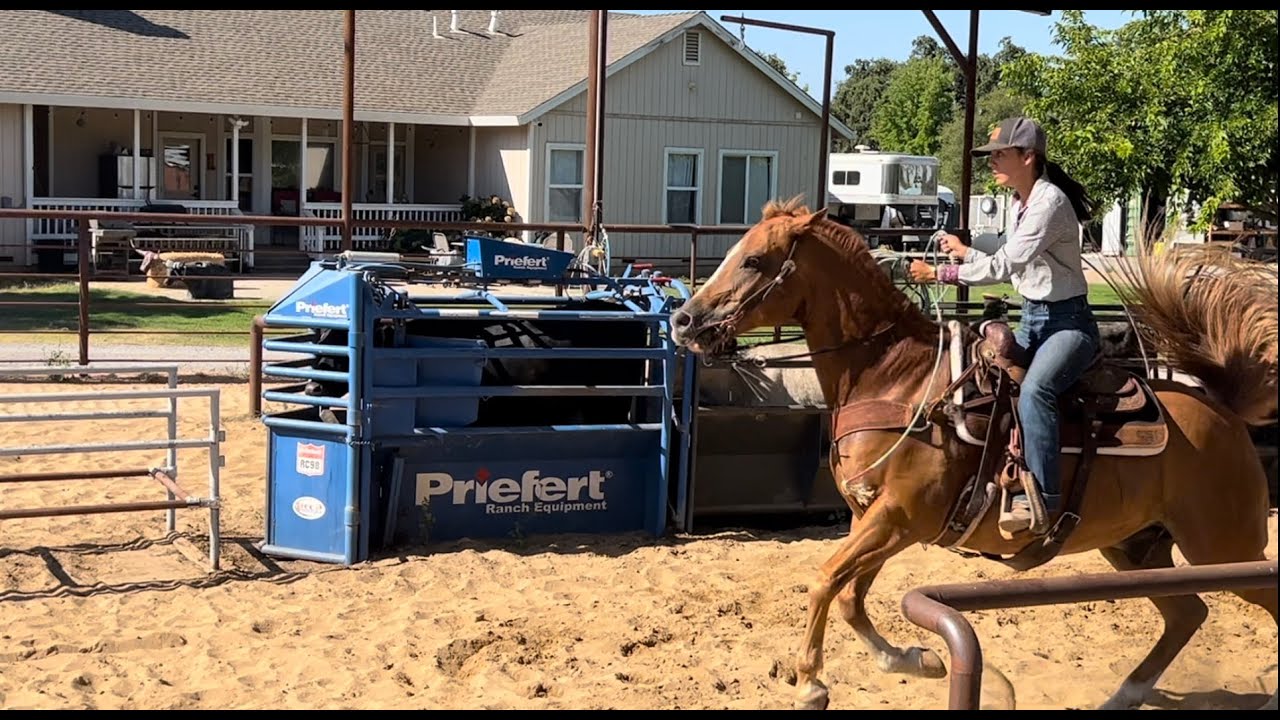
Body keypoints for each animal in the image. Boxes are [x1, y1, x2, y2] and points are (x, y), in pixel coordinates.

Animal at [668, 196, 1278, 711]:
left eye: (754, 260)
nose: (684, 320)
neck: (896, 379)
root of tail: (1223, 409)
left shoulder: (898, 517)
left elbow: (824, 580)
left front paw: (811, 684)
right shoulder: (877, 519)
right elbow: (848, 595)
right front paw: (918, 660)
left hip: (1224, 549)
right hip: (1137, 547)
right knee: (1188, 612)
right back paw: (1122, 696)